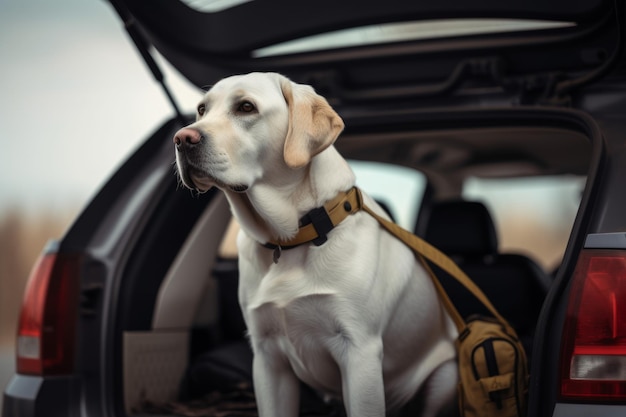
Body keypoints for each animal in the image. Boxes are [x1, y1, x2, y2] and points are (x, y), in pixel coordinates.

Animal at [173, 72, 456, 416]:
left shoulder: (360, 351)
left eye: (246, 107)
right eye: (202, 110)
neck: (292, 238)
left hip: (448, 375)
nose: (181, 138)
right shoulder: (267, 356)